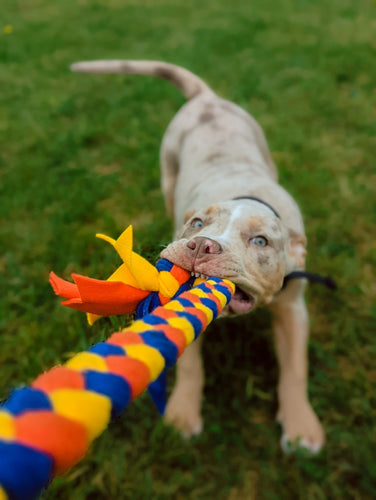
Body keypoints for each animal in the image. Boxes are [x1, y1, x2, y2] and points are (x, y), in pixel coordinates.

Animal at [70, 59, 326, 454]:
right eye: (197, 224)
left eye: (261, 241)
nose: (202, 245)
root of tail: (206, 98)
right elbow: (189, 362)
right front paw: (182, 415)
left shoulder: (293, 307)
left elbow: (295, 366)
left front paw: (301, 428)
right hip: (169, 169)